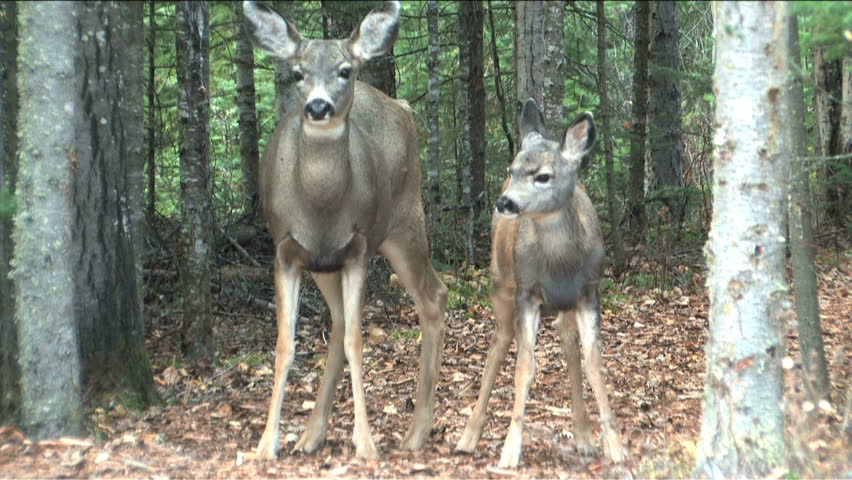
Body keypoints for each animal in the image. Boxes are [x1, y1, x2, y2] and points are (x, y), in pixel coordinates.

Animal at [241, 1, 447, 460]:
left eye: (345, 70)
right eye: (297, 73)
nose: (318, 107)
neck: (320, 208)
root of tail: (402, 105)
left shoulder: (357, 248)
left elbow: (357, 340)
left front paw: (366, 443)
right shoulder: (286, 250)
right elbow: (285, 344)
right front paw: (265, 445)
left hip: (405, 222)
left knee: (433, 295)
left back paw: (417, 431)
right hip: (325, 264)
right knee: (336, 322)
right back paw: (310, 435)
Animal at [454, 99, 628, 468]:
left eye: (543, 176)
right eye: (513, 168)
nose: (505, 202)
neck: (561, 264)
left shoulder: (590, 292)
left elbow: (594, 364)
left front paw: (615, 447)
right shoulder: (527, 294)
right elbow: (525, 366)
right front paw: (509, 451)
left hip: (564, 307)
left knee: (569, 349)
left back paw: (584, 438)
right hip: (501, 287)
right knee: (497, 347)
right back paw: (467, 438)